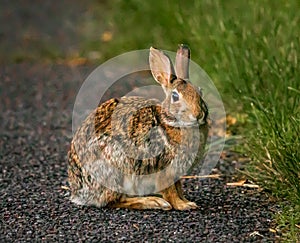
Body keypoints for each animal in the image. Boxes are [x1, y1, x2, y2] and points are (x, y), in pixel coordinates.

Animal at [68, 45, 209, 211]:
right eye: (175, 96)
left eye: (200, 92)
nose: (198, 115)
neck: (171, 122)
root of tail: (80, 193)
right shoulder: (165, 169)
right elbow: (171, 192)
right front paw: (183, 205)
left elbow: (179, 188)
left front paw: (186, 200)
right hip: (118, 168)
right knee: (114, 201)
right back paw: (153, 202)